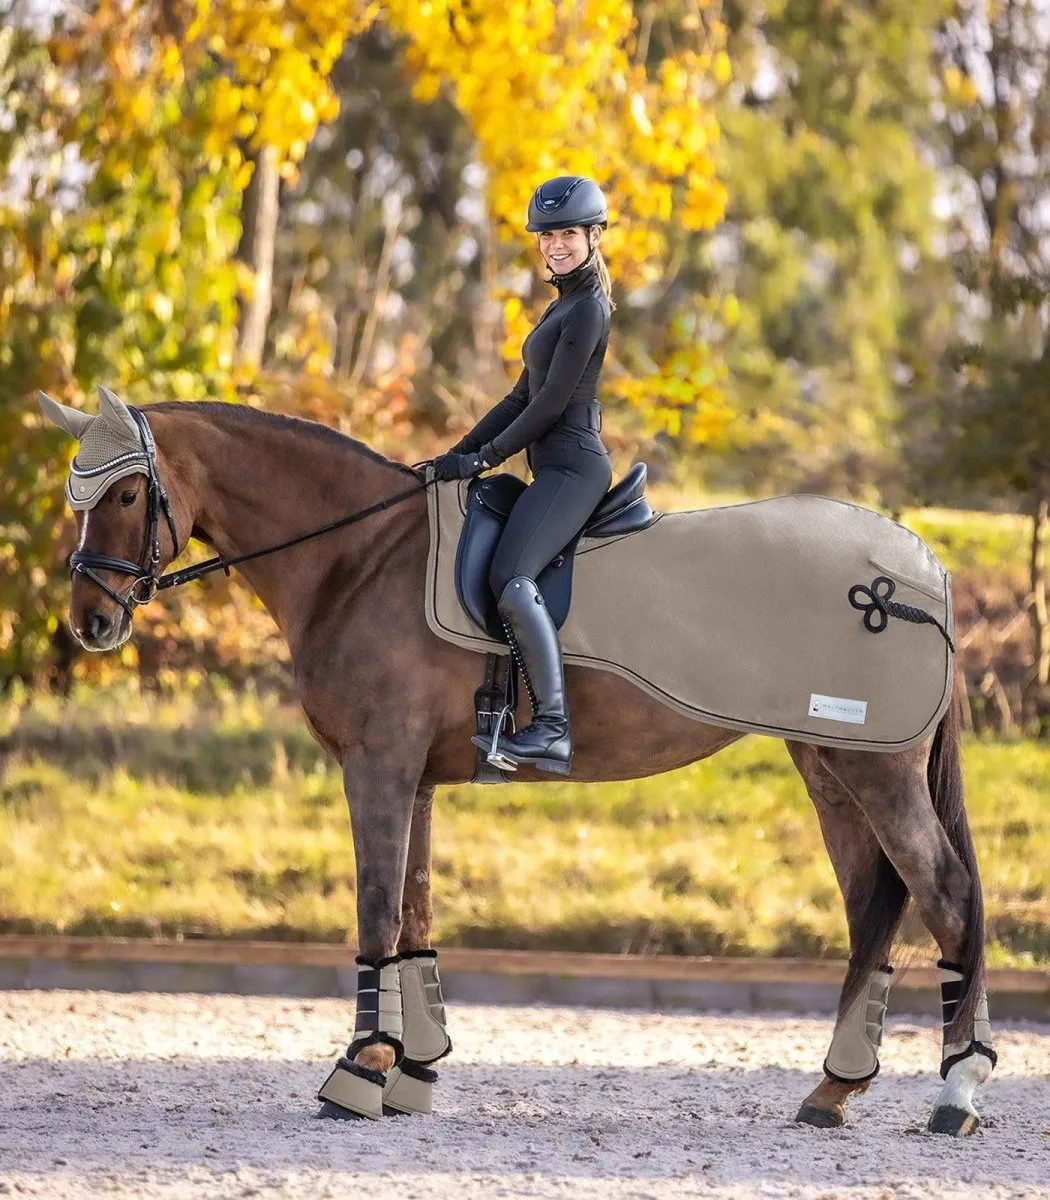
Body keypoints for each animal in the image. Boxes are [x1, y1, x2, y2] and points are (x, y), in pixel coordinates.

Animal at [39, 386, 993, 1132]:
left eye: (127, 493)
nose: (91, 621)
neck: (359, 557)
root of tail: (923, 569)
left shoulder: (377, 765)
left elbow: (376, 908)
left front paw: (360, 1071)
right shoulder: (412, 775)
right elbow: (414, 909)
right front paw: (413, 1069)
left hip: (875, 769)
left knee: (943, 893)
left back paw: (958, 1091)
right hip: (830, 767)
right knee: (876, 902)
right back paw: (835, 1088)